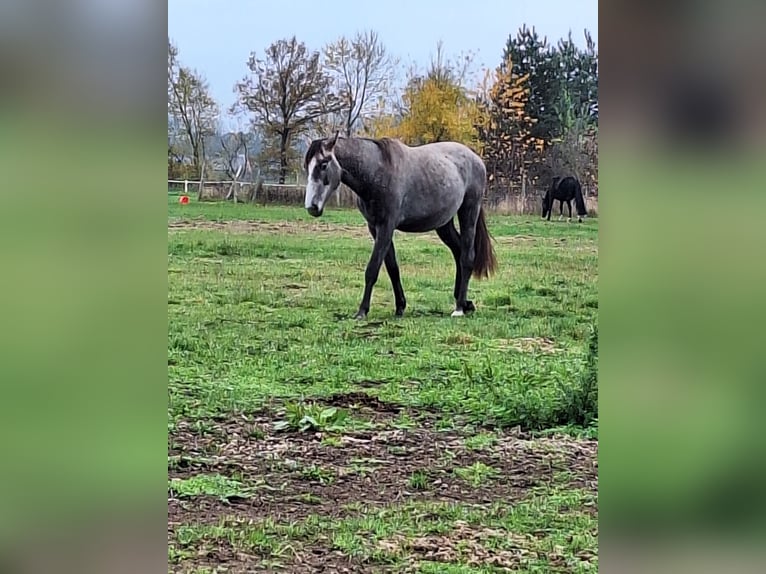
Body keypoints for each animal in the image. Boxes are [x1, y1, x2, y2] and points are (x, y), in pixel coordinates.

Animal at [304, 134, 500, 320]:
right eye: (307, 166)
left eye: (323, 164)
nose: (312, 207)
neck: (378, 171)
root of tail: (475, 158)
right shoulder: (375, 228)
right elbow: (392, 268)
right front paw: (400, 307)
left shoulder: (386, 226)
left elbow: (372, 269)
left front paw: (362, 311)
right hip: (444, 224)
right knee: (458, 252)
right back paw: (465, 303)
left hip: (469, 211)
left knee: (467, 257)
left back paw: (459, 308)